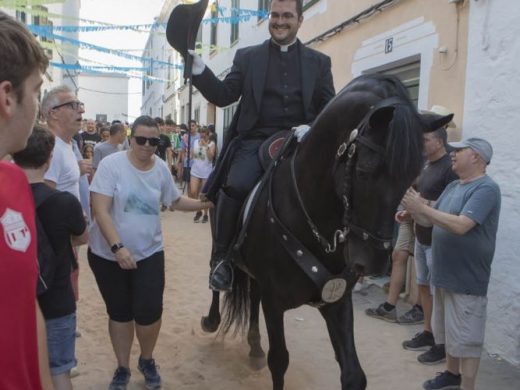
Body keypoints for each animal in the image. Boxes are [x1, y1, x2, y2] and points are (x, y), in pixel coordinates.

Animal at [201, 74, 452, 390]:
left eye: (412, 176)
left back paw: (255, 346)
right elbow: (279, 361)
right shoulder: (274, 302)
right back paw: (212, 316)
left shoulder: (337, 299)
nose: (373, 262)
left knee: (252, 293)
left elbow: (354, 374)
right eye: (365, 170)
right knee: (216, 267)